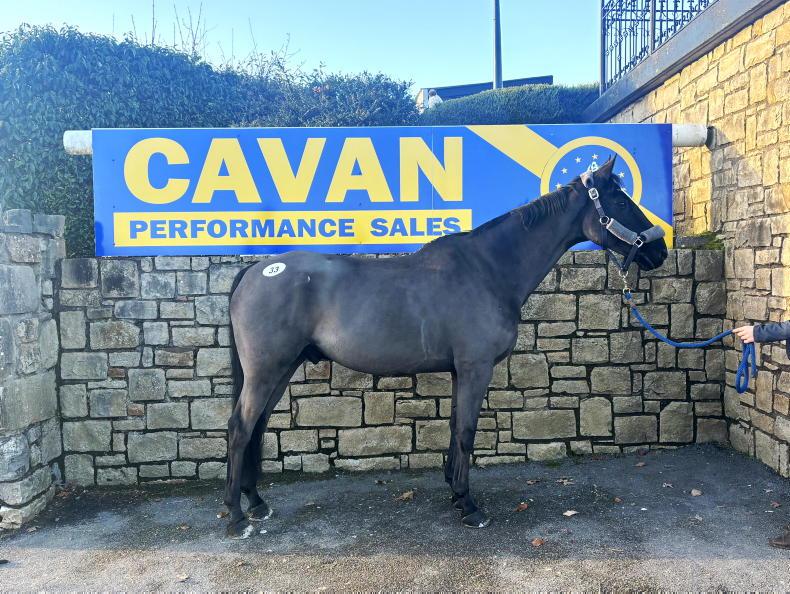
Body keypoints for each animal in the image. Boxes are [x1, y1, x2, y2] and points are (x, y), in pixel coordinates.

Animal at [223, 156, 669, 538]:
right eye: (620, 201)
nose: (659, 250)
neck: (488, 269)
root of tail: (255, 270)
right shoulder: (475, 367)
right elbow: (467, 431)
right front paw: (469, 506)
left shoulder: (459, 371)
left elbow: (455, 428)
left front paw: (455, 493)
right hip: (266, 370)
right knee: (240, 428)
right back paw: (235, 517)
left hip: (281, 368)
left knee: (257, 426)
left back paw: (256, 502)